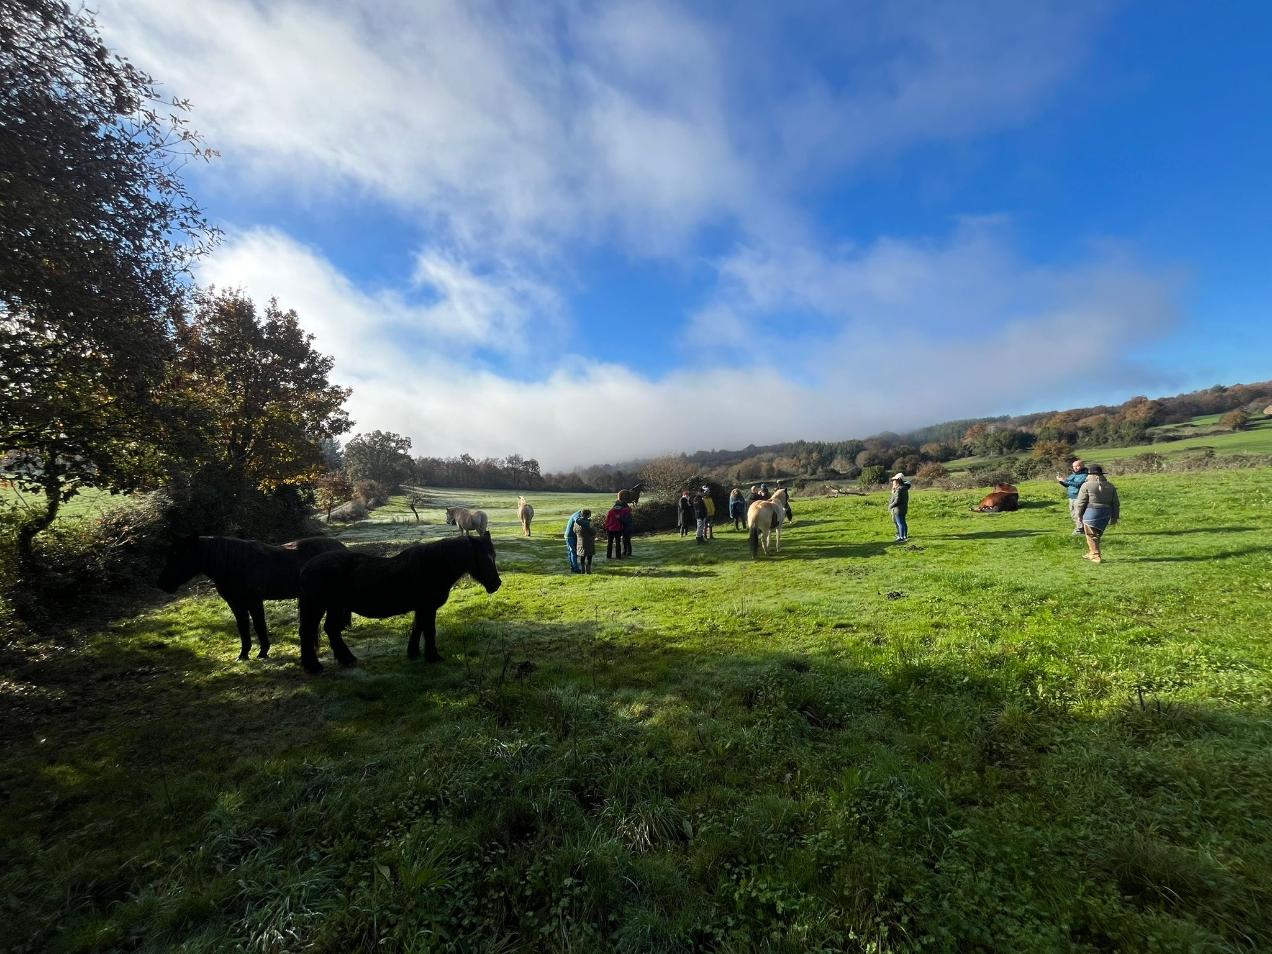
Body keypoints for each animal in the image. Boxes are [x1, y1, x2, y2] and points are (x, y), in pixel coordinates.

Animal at [156, 534, 347, 660]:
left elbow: (259, 625)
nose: (162, 584)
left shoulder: (253, 600)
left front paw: (263, 652)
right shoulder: (236, 603)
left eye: (178, 556)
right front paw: (243, 655)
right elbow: (243, 627)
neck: (235, 564)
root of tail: (340, 547)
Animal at [297, 532, 502, 673]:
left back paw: (346, 659)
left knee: (330, 629)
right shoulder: (427, 608)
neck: (434, 565)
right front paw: (433, 657)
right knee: (308, 632)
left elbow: (418, 628)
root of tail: (306, 567)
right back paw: (314, 666)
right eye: (485, 558)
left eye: (494, 556)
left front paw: (414, 653)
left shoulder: (422, 608)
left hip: (335, 607)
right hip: (318, 607)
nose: (496, 584)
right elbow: (429, 631)